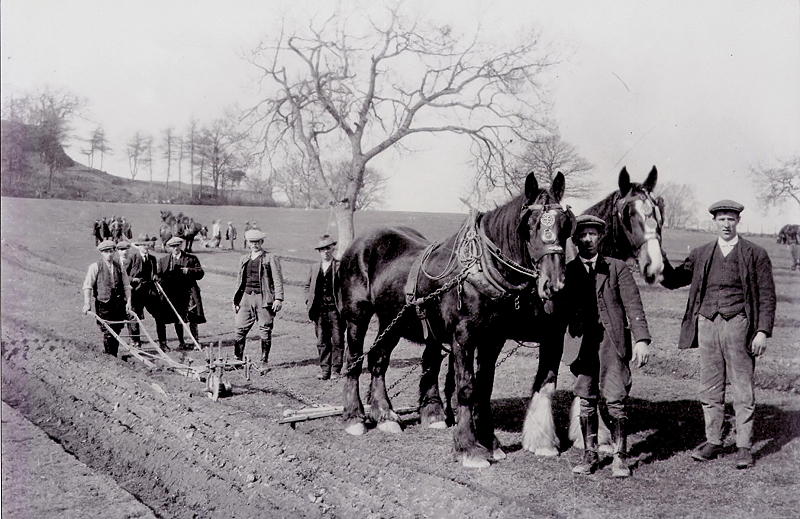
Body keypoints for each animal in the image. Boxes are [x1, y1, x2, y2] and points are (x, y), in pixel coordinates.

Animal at [338, 173, 576, 470]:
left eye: (565, 225)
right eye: (529, 225)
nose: (554, 284)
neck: (481, 268)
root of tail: (359, 243)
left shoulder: (492, 339)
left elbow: (484, 388)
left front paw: (490, 442)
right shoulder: (463, 337)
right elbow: (465, 388)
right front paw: (468, 448)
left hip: (392, 321)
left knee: (378, 360)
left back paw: (385, 415)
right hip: (357, 316)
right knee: (354, 360)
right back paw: (354, 417)